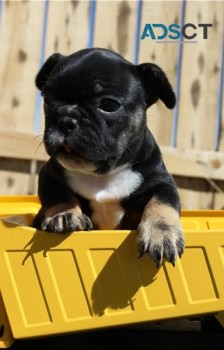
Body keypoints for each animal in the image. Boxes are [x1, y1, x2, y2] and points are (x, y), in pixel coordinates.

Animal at [32, 48, 184, 268]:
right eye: (47, 100)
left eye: (109, 105)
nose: (66, 120)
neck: (101, 174)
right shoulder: (49, 175)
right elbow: (57, 195)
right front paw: (65, 215)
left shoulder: (161, 183)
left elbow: (162, 203)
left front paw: (161, 234)